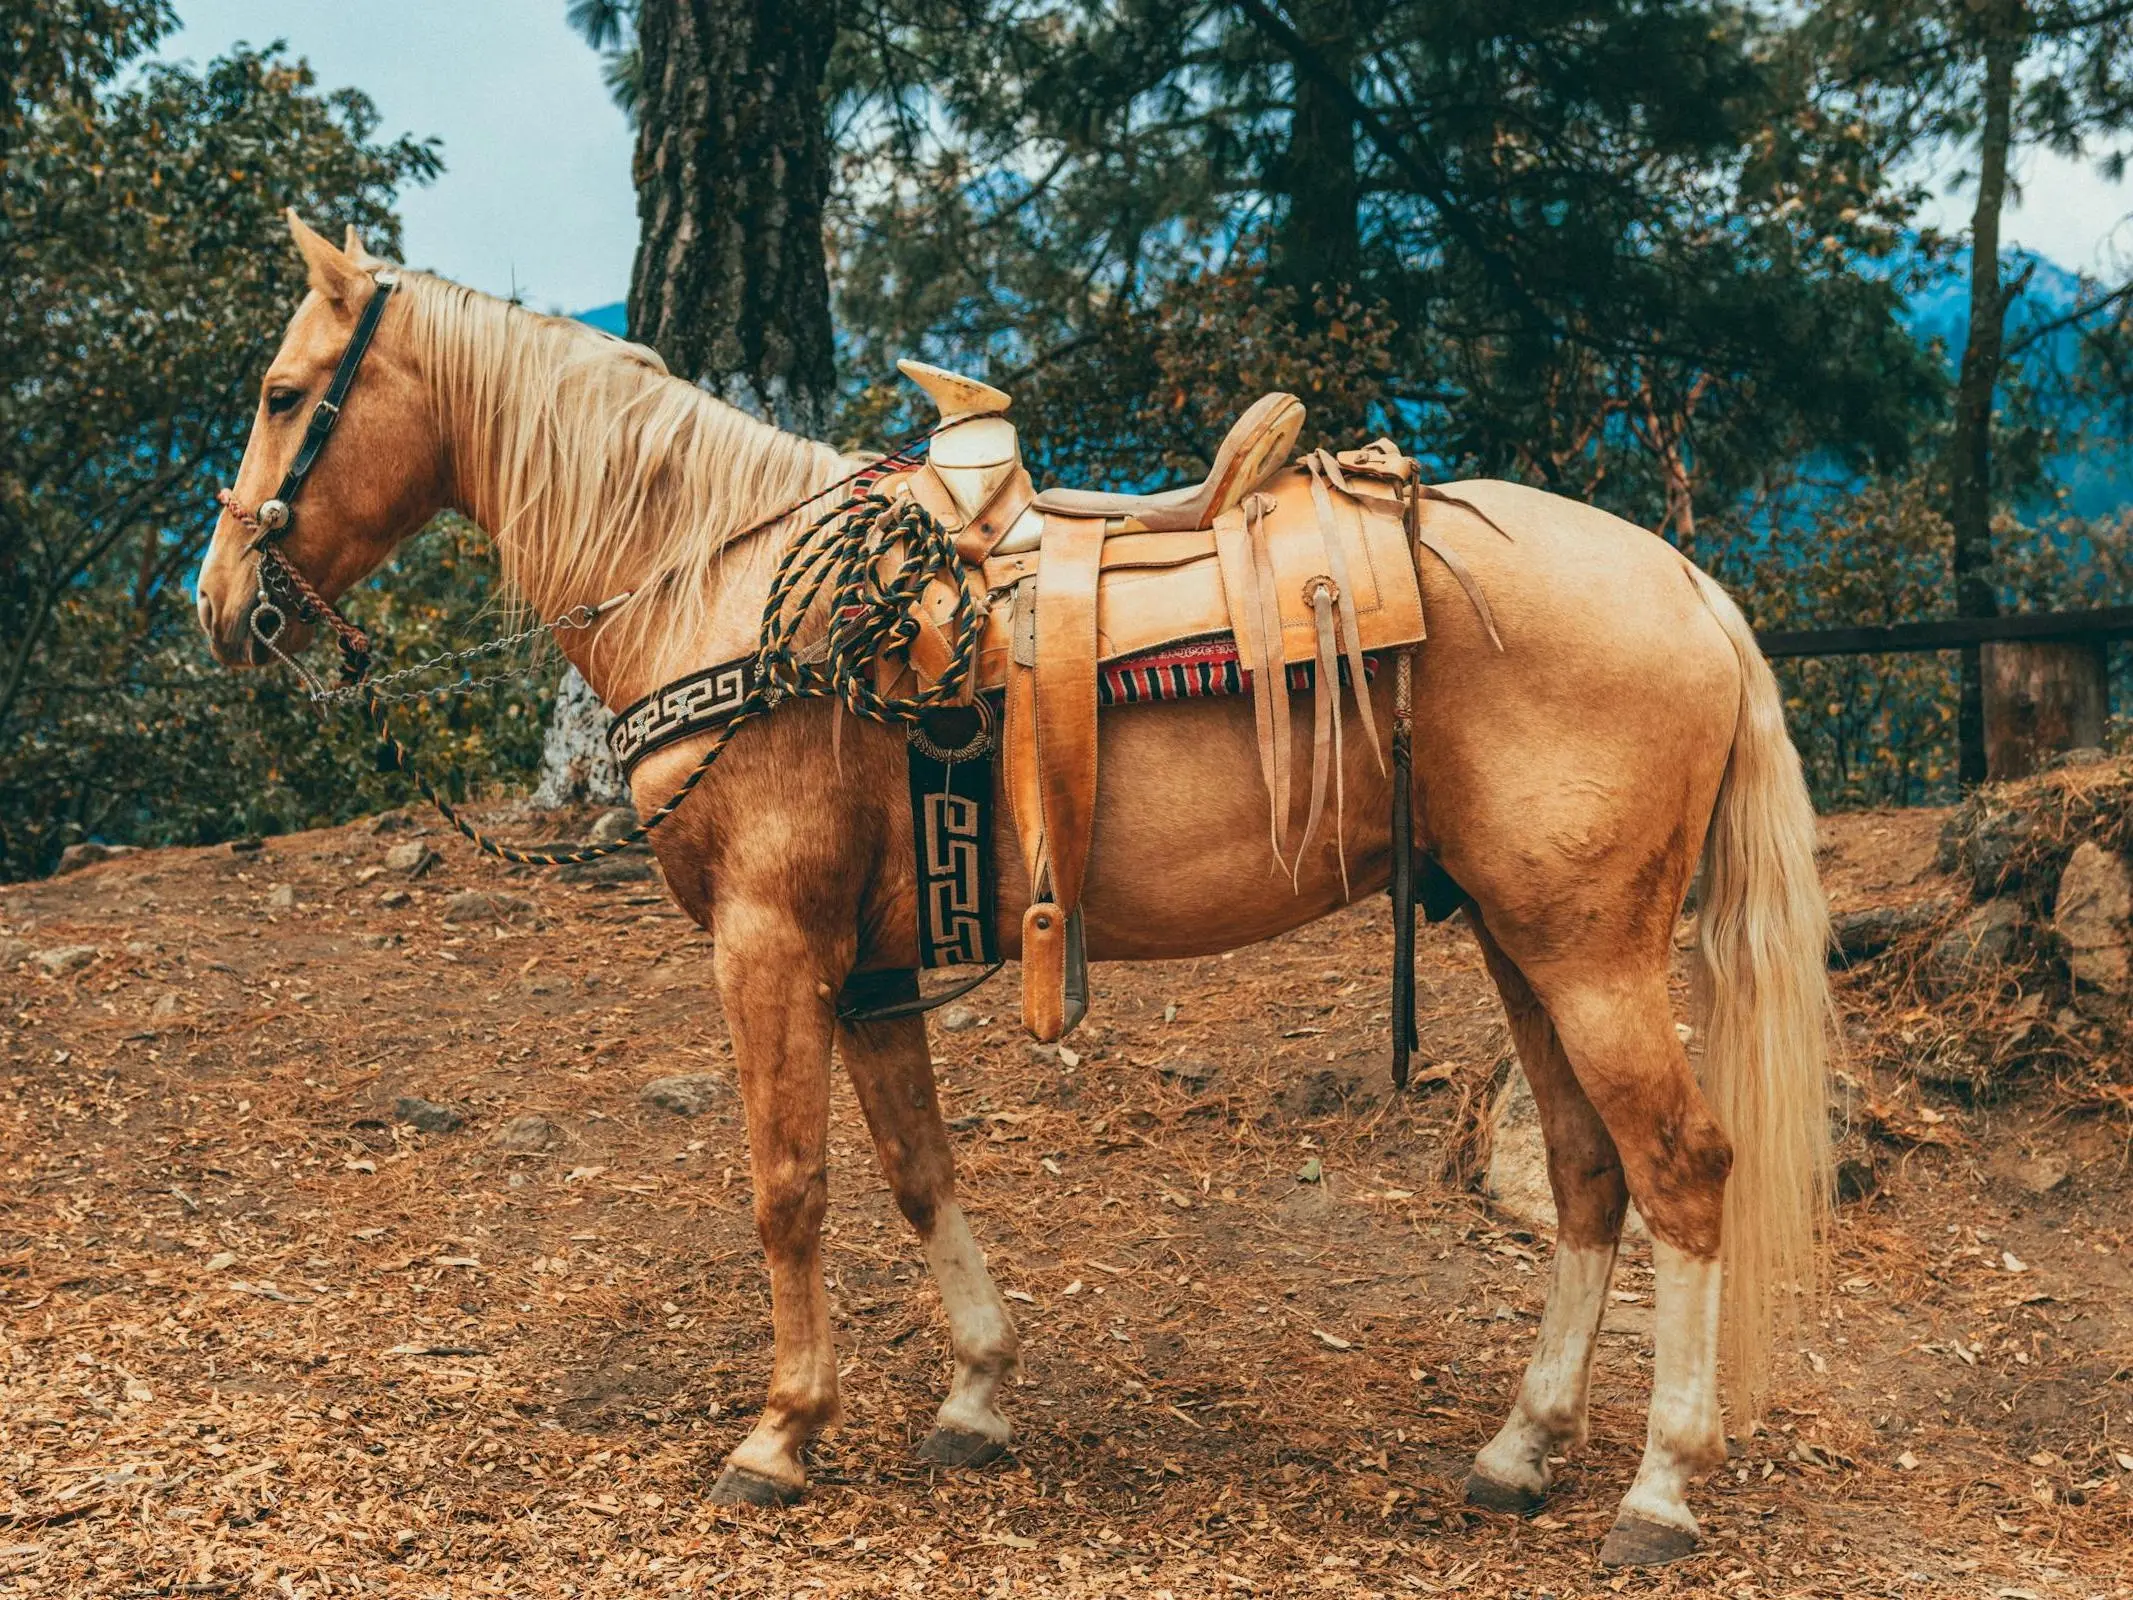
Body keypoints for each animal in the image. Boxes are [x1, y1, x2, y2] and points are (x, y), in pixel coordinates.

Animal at [200, 219, 1834, 1570]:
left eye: (283, 395)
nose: (221, 606)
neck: (729, 591)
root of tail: (1691, 589)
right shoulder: (867, 965)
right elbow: (917, 1169)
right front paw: (976, 1396)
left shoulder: (768, 940)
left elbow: (787, 1187)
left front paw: (779, 1434)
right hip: (1515, 942)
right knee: (1588, 1175)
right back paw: (1519, 1450)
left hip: (1589, 955)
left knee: (1684, 1171)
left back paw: (1659, 1490)